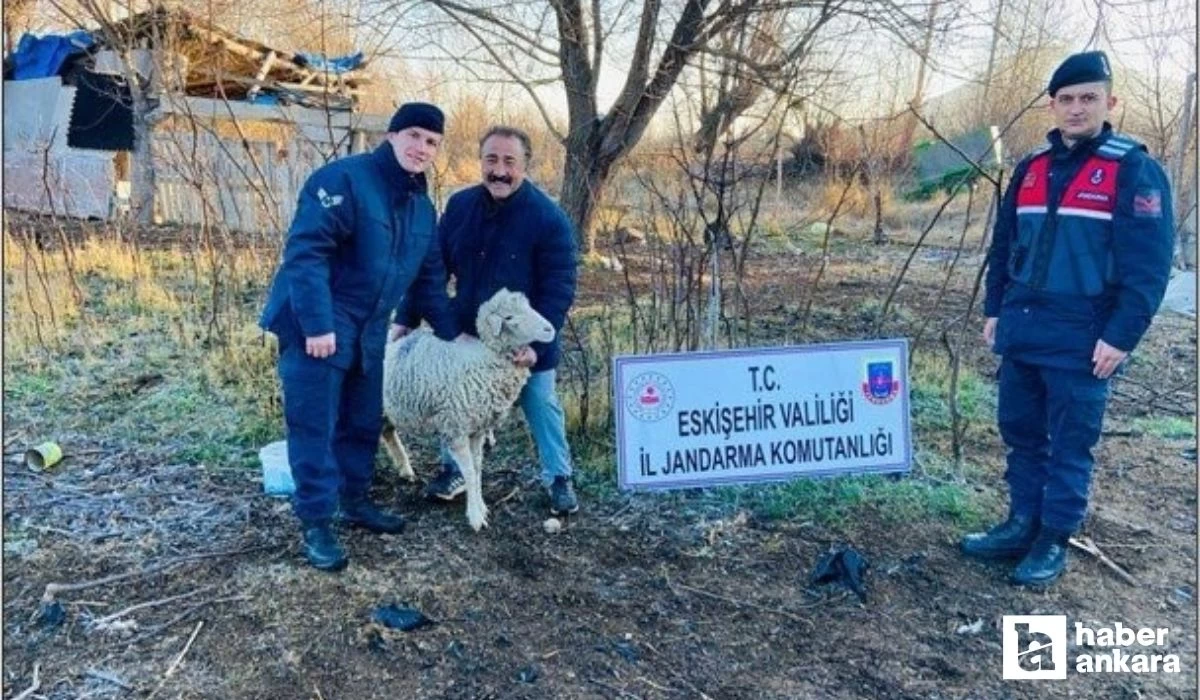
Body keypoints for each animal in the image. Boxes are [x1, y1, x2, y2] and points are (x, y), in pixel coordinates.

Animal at [381, 290, 554, 530]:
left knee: (387, 432)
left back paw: (405, 469)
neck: (484, 359)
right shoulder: (456, 428)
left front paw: (481, 507)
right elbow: (470, 473)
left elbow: (478, 468)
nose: (550, 330)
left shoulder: (477, 429)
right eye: (509, 317)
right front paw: (475, 517)